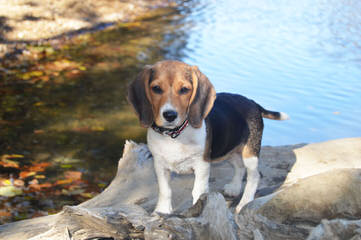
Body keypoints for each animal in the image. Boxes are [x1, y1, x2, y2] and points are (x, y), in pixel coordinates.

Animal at [128, 60, 288, 214]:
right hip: (228, 149)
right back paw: (234, 188)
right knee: (239, 166)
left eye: (184, 89)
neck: (175, 134)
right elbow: (165, 190)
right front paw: (162, 210)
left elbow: (198, 191)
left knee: (254, 176)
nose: (170, 115)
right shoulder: (160, 164)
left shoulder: (202, 165)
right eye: (156, 88)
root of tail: (252, 102)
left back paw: (244, 203)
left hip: (250, 153)